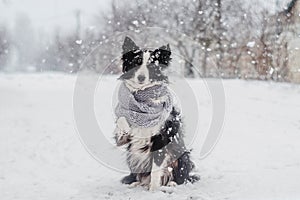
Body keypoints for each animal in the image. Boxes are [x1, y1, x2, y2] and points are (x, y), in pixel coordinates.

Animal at [113, 36, 198, 191]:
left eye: (152, 66)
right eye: (136, 63)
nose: (141, 78)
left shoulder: (161, 138)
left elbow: (156, 169)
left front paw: (153, 190)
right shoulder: (124, 138)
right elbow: (121, 119)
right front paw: (126, 126)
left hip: (182, 156)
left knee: (181, 177)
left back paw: (171, 183)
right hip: (131, 154)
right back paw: (137, 183)